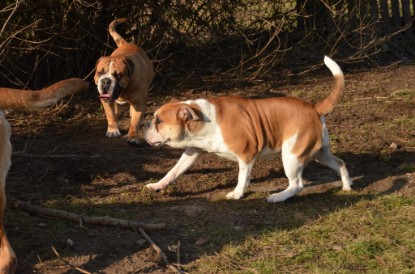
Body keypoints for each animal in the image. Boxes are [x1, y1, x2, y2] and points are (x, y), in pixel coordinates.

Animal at [145, 56, 352, 201]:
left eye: (159, 121)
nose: (145, 125)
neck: (203, 120)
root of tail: (314, 108)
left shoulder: (246, 155)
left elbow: (242, 177)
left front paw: (237, 194)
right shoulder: (192, 151)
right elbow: (174, 171)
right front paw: (158, 185)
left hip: (291, 155)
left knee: (297, 184)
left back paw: (277, 197)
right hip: (319, 153)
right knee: (340, 163)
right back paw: (347, 186)